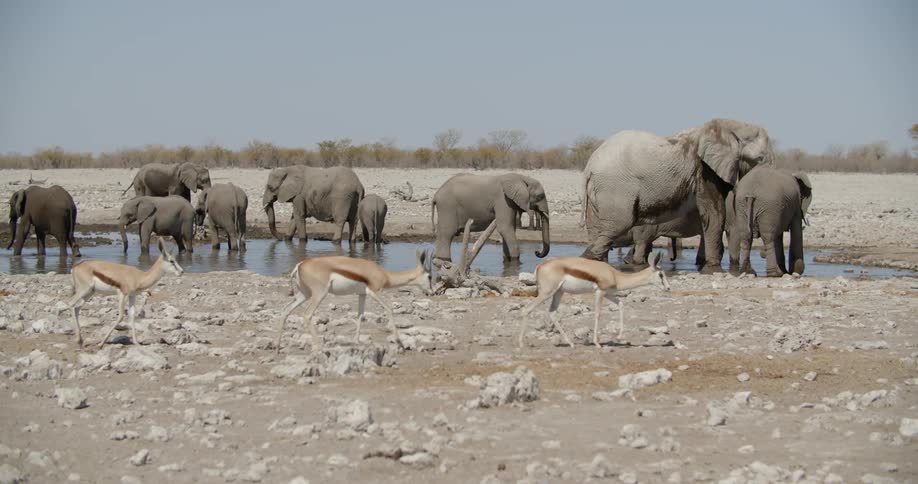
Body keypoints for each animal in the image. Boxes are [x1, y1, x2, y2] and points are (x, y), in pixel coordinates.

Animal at [581, 118, 773, 273]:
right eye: (760, 158)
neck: (730, 126)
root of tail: (589, 166)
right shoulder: (705, 170)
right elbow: (714, 214)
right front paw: (713, 270)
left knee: (598, 229)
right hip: (616, 187)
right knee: (619, 224)